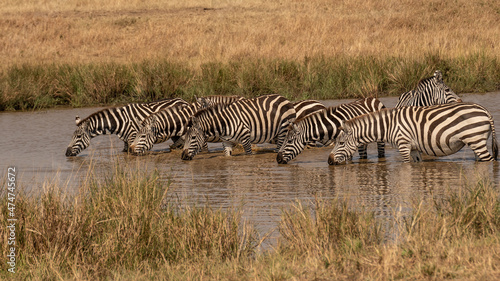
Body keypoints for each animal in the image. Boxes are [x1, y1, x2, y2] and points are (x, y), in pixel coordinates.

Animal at [328, 101, 496, 164]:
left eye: (341, 143)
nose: (329, 161)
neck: (388, 126)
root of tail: (485, 111)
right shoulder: (415, 148)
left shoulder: (403, 144)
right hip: (476, 142)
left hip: (476, 139)